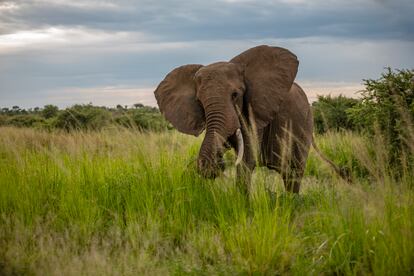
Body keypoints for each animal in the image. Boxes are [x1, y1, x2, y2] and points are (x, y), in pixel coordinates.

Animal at [154, 44, 344, 194]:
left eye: (235, 95)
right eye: (199, 102)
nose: (216, 164)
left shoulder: (255, 113)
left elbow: (246, 161)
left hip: (304, 126)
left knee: (293, 173)